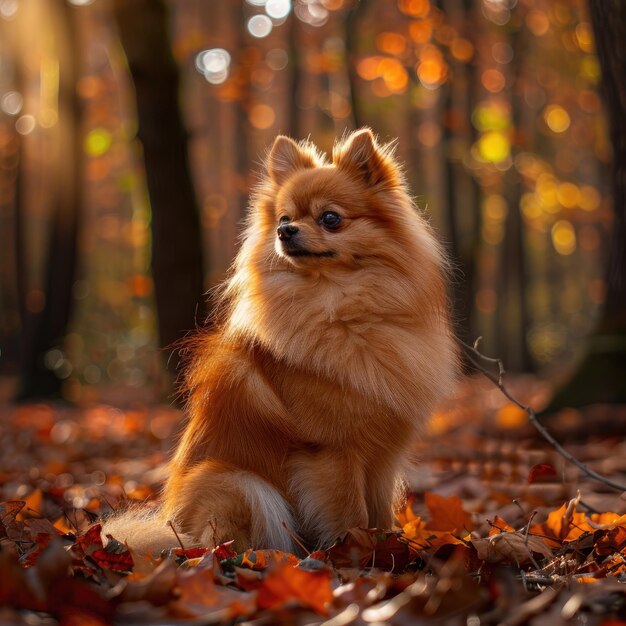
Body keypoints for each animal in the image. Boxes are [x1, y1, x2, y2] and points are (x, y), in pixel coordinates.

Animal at [102, 125, 454, 552]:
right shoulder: (333, 454)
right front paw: (357, 552)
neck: (343, 311)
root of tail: (173, 525)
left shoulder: (381, 459)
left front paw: (390, 547)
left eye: (330, 218)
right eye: (284, 218)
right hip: (237, 482)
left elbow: (380, 514)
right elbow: (352, 515)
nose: (285, 231)